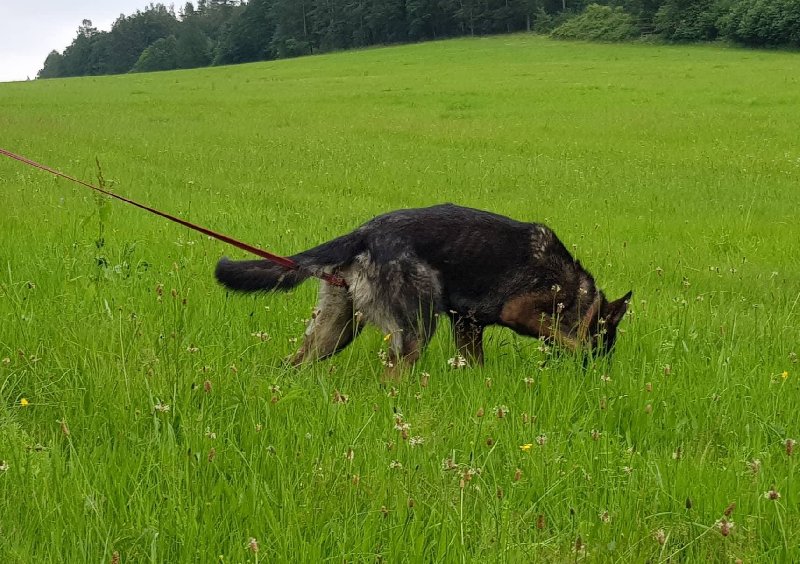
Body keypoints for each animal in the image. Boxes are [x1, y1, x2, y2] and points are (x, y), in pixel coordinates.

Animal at [214, 205, 632, 368]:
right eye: (607, 347)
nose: (602, 373)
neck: (578, 292)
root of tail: (364, 233)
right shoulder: (520, 310)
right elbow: (568, 337)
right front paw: (579, 350)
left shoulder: (467, 325)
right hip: (416, 329)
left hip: (335, 332)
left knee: (293, 363)